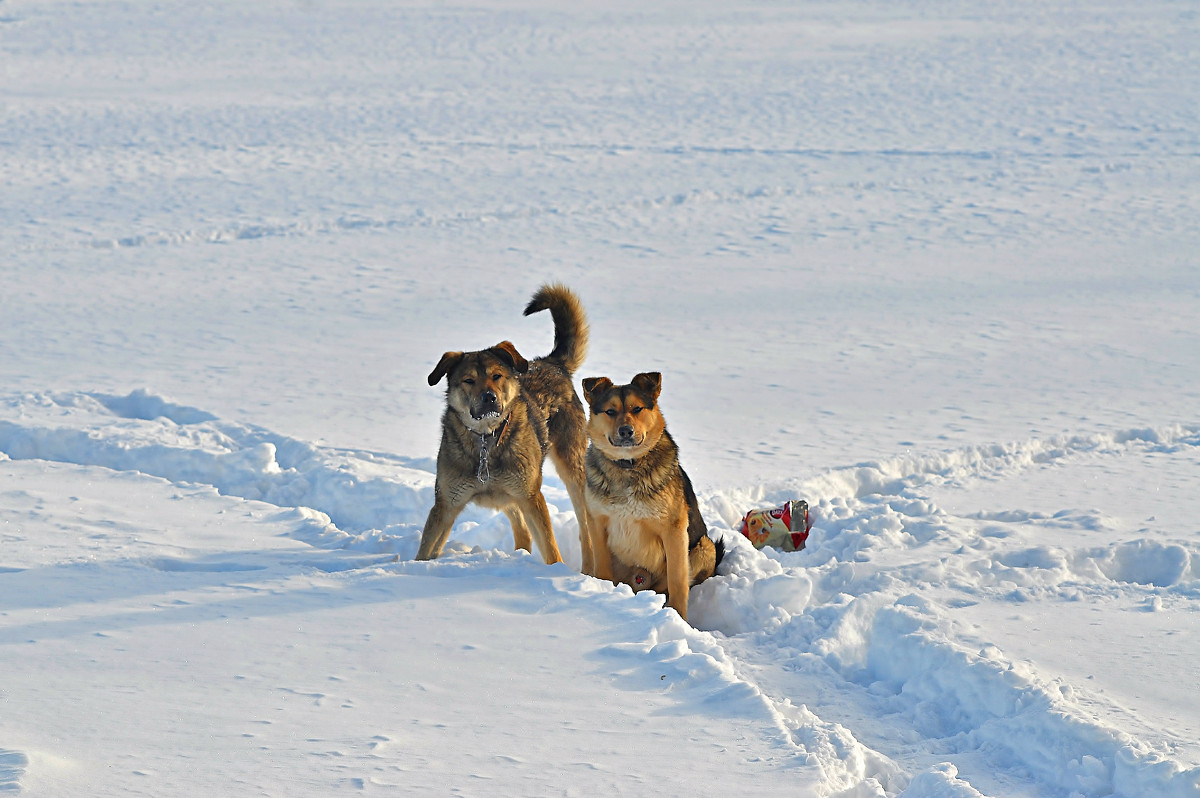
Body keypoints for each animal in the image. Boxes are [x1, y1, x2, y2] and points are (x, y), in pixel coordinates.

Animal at [417, 283, 595, 568]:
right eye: (468, 380)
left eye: (496, 376)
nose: (489, 398)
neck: (485, 442)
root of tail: (552, 364)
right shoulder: (446, 503)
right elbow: (425, 550)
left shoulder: (531, 496)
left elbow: (551, 549)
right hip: (508, 493)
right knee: (522, 531)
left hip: (570, 469)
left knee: (586, 530)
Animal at [580, 374, 720, 624]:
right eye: (610, 411)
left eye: (637, 409)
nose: (626, 431)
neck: (627, 465)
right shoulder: (596, 521)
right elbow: (602, 566)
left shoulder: (673, 529)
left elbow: (677, 580)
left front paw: (678, 617)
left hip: (705, 547)